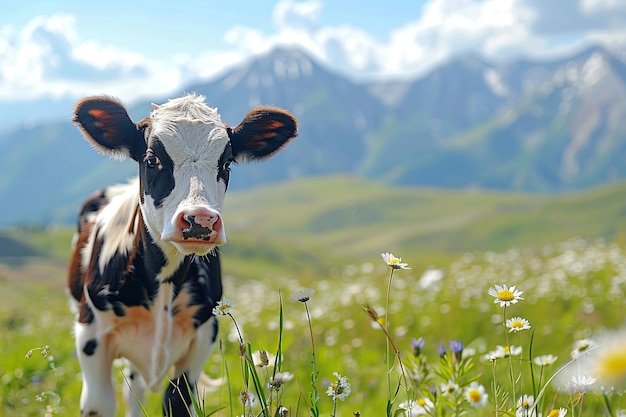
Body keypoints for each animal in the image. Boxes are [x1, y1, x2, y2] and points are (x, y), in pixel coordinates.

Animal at [67, 94, 296, 416]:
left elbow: (177, 402)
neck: (163, 281)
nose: (200, 219)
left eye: (227, 162)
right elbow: (100, 403)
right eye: (152, 159)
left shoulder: (202, 339)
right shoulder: (91, 336)